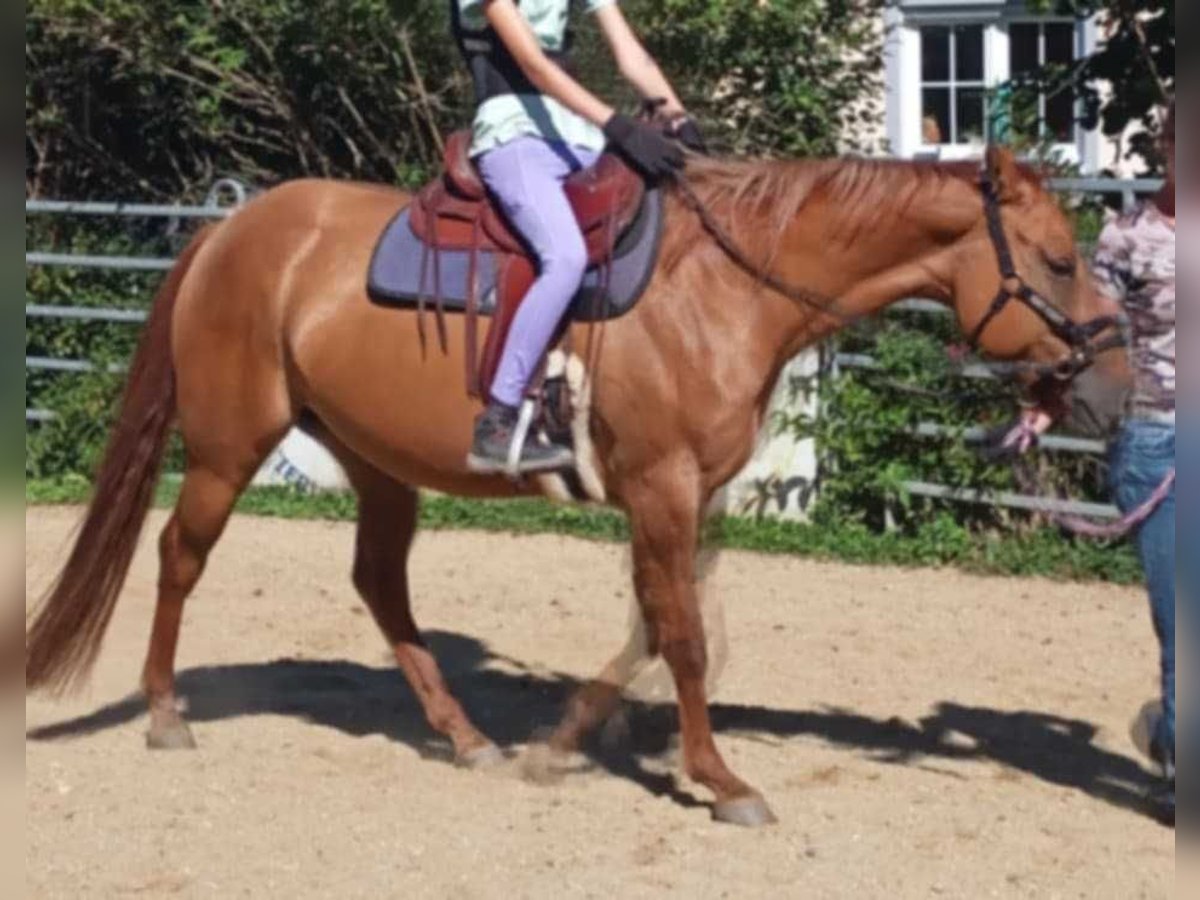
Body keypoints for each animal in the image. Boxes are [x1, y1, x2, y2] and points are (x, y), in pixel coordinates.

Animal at [25, 146, 1123, 825]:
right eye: (1059, 261)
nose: (1113, 379)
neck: (721, 289)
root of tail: (230, 229)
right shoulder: (664, 488)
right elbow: (684, 638)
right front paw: (721, 779)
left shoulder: (679, 499)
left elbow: (659, 629)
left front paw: (571, 742)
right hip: (227, 446)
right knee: (180, 556)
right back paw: (166, 713)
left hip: (376, 465)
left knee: (381, 585)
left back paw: (467, 738)